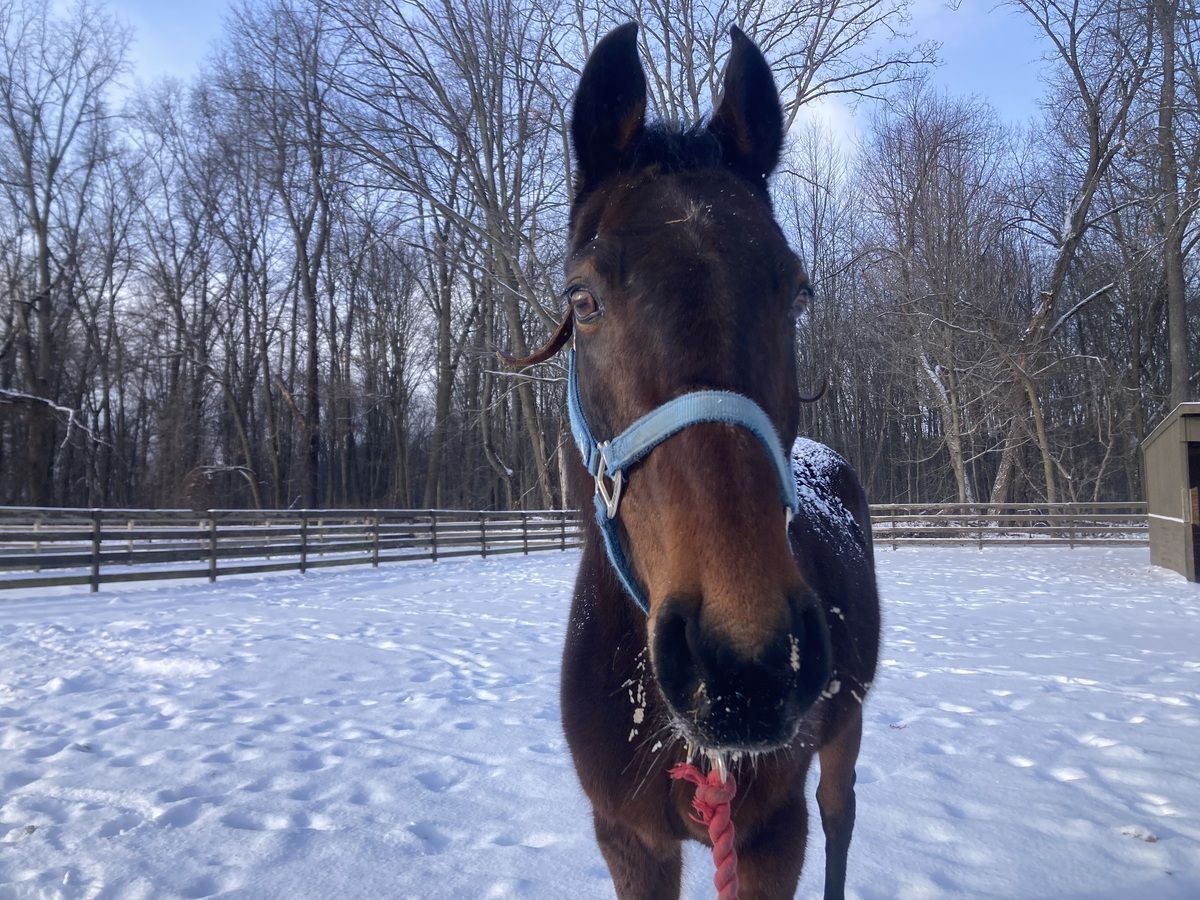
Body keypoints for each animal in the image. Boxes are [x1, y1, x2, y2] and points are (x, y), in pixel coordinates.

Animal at [507, 23, 880, 900]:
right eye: (583, 300)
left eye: (796, 291)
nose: (745, 665)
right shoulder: (630, 841)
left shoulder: (772, 838)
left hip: (846, 725)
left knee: (842, 813)